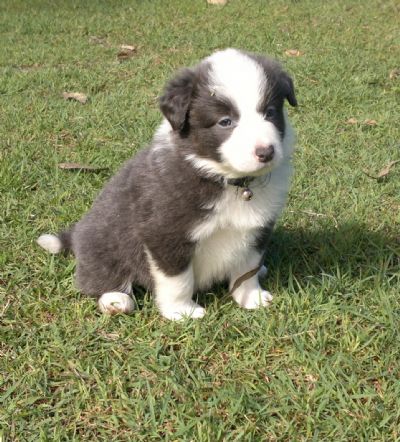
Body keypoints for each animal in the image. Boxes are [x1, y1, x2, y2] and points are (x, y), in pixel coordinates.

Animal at [37, 48, 296, 320]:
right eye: (225, 121)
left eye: (270, 112)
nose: (266, 152)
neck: (226, 180)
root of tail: (76, 236)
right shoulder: (165, 232)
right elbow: (178, 279)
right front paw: (182, 312)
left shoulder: (256, 230)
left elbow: (248, 269)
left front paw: (252, 298)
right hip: (104, 242)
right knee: (97, 277)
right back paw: (115, 299)